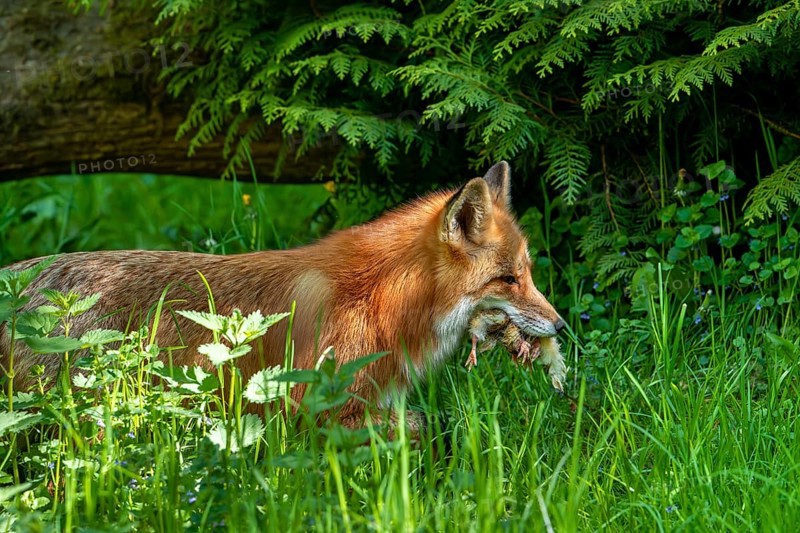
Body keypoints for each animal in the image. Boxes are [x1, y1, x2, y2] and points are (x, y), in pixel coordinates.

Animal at [0, 161, 565, 431]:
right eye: (508, 280)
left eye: (529, 274)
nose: (562, 327)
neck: (382, 299)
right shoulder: (316, 405)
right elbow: (421, 428)